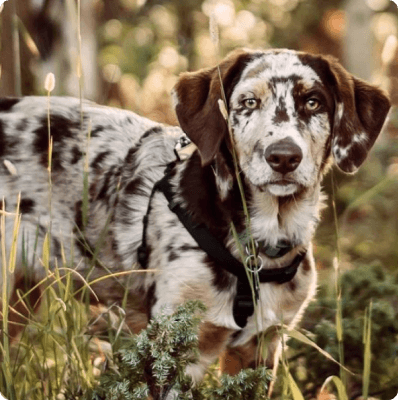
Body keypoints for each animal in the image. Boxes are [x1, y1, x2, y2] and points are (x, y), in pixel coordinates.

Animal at [0, 48, 392, 382]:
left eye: (313, 102)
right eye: (248, 102)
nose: (283, 156)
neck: (259, 245)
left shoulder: (260, 349)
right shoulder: (173, 352)